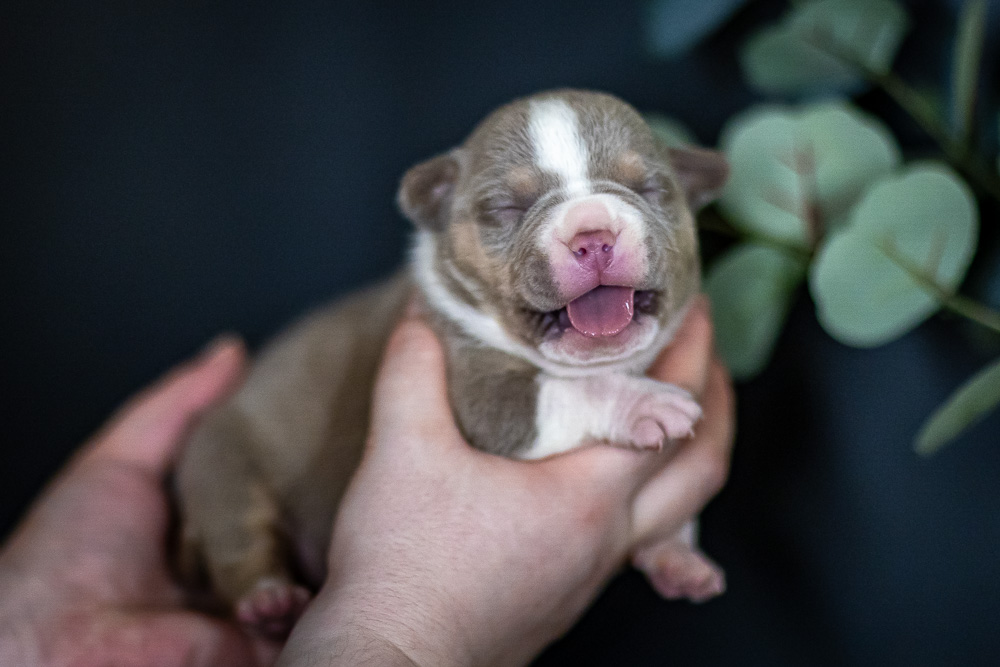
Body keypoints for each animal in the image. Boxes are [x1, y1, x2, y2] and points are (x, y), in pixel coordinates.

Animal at [174, 89, 729, 638]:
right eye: (508, 207)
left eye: (650, 188)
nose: (592, 235)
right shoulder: (476, 389)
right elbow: (566, 391)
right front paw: (645, 404)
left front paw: (674, 551)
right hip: (223, 463)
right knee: (240, 539)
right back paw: (269, 600)